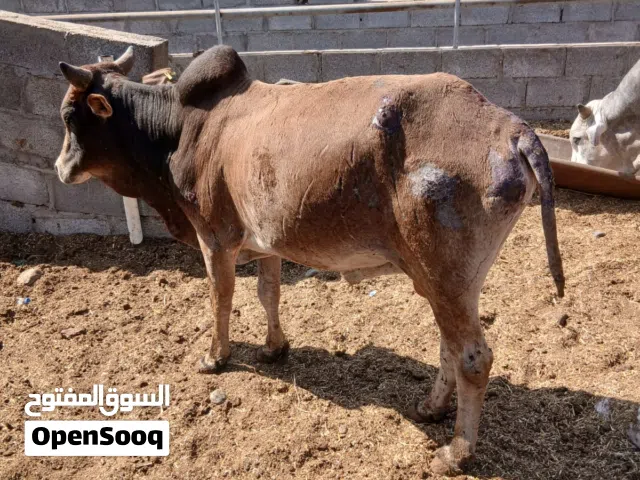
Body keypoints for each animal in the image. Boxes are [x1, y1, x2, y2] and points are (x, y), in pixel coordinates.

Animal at [54, 45, 564, 476]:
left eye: (70, 116)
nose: (60, 168)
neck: (181, 130)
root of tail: (512, 129)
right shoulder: (267, 244)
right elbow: (269, 294)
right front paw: (274, 348)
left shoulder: (215, 238)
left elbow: (221, 299)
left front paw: (215, 357)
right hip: (445, 282)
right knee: (449, 349)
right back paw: (431, 408)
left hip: (447, 278)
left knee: (474, 359)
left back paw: (456, 452)